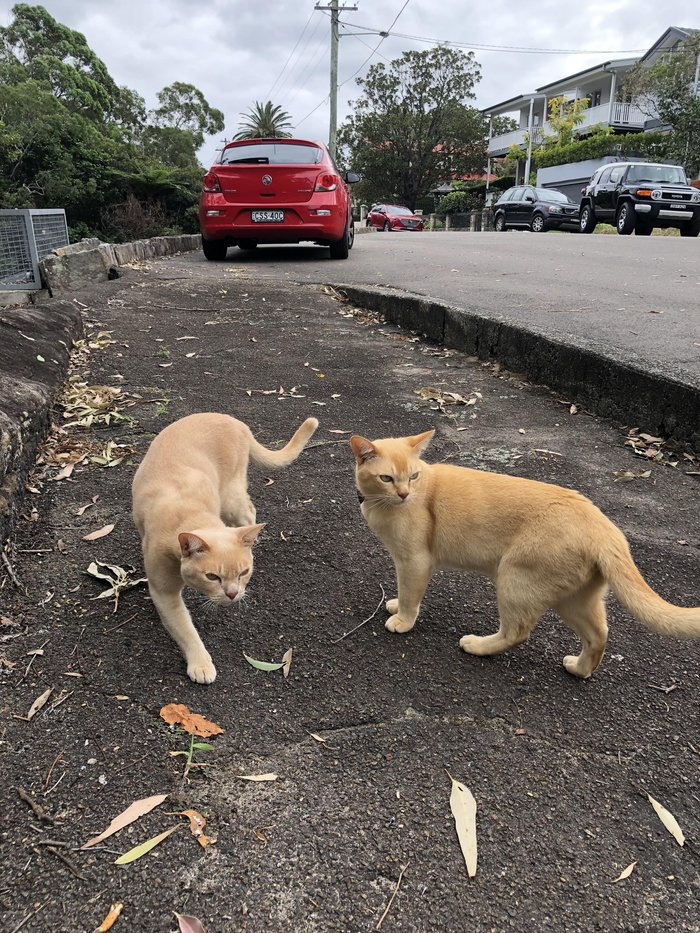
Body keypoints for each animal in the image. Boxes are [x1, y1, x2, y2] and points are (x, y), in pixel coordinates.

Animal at [133, 412, 318, 680]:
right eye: (212, 576)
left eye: (244, 572)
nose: (233, 594)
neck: (187, 513)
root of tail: (233, 420)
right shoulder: (163, 592)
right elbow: (185, 629)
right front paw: (201, 663)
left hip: (232, 497)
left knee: (250, 511)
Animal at [350, 430, 700, 676]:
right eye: (387, 478)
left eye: (413, 476)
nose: (404, 494)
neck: (382, 506)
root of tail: (603, 525)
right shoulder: (404, 561)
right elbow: (403, 591)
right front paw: (395, 604)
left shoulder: (415, 561)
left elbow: (411, 596)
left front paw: (403, 620)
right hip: (574, 599)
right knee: (599, 634)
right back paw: (579, 669)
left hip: (514, 579)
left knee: (516, 633)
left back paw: (477, 645)